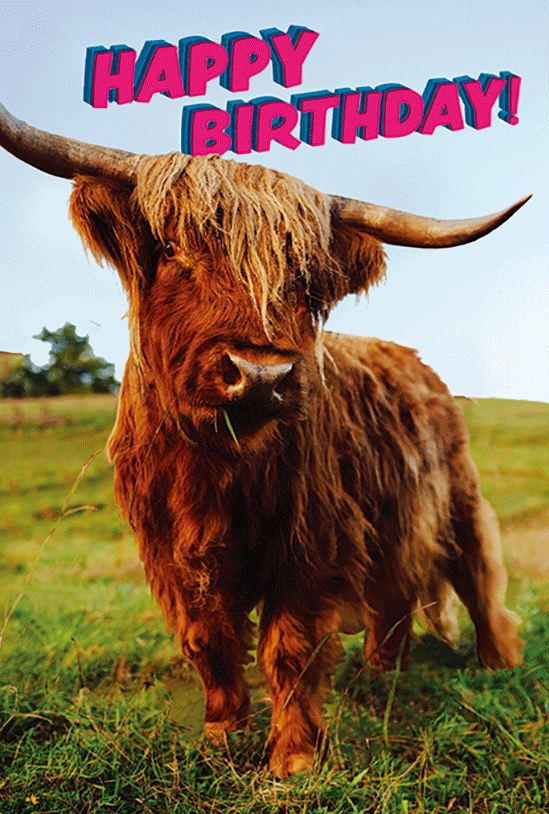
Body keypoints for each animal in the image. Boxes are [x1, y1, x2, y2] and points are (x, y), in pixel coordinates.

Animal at [1, 104, 526, 777]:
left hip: (456, 497)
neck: (214, 469)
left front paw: (293, 758)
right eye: (172, 249)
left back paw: (496, 664)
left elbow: (290, 648)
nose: (259, 374)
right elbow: (209, 642)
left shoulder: (310, 542)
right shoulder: (170, 554)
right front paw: (221, 735)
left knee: (477, 576)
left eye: (304, 279)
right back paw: (382, 673)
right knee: (395, 597)